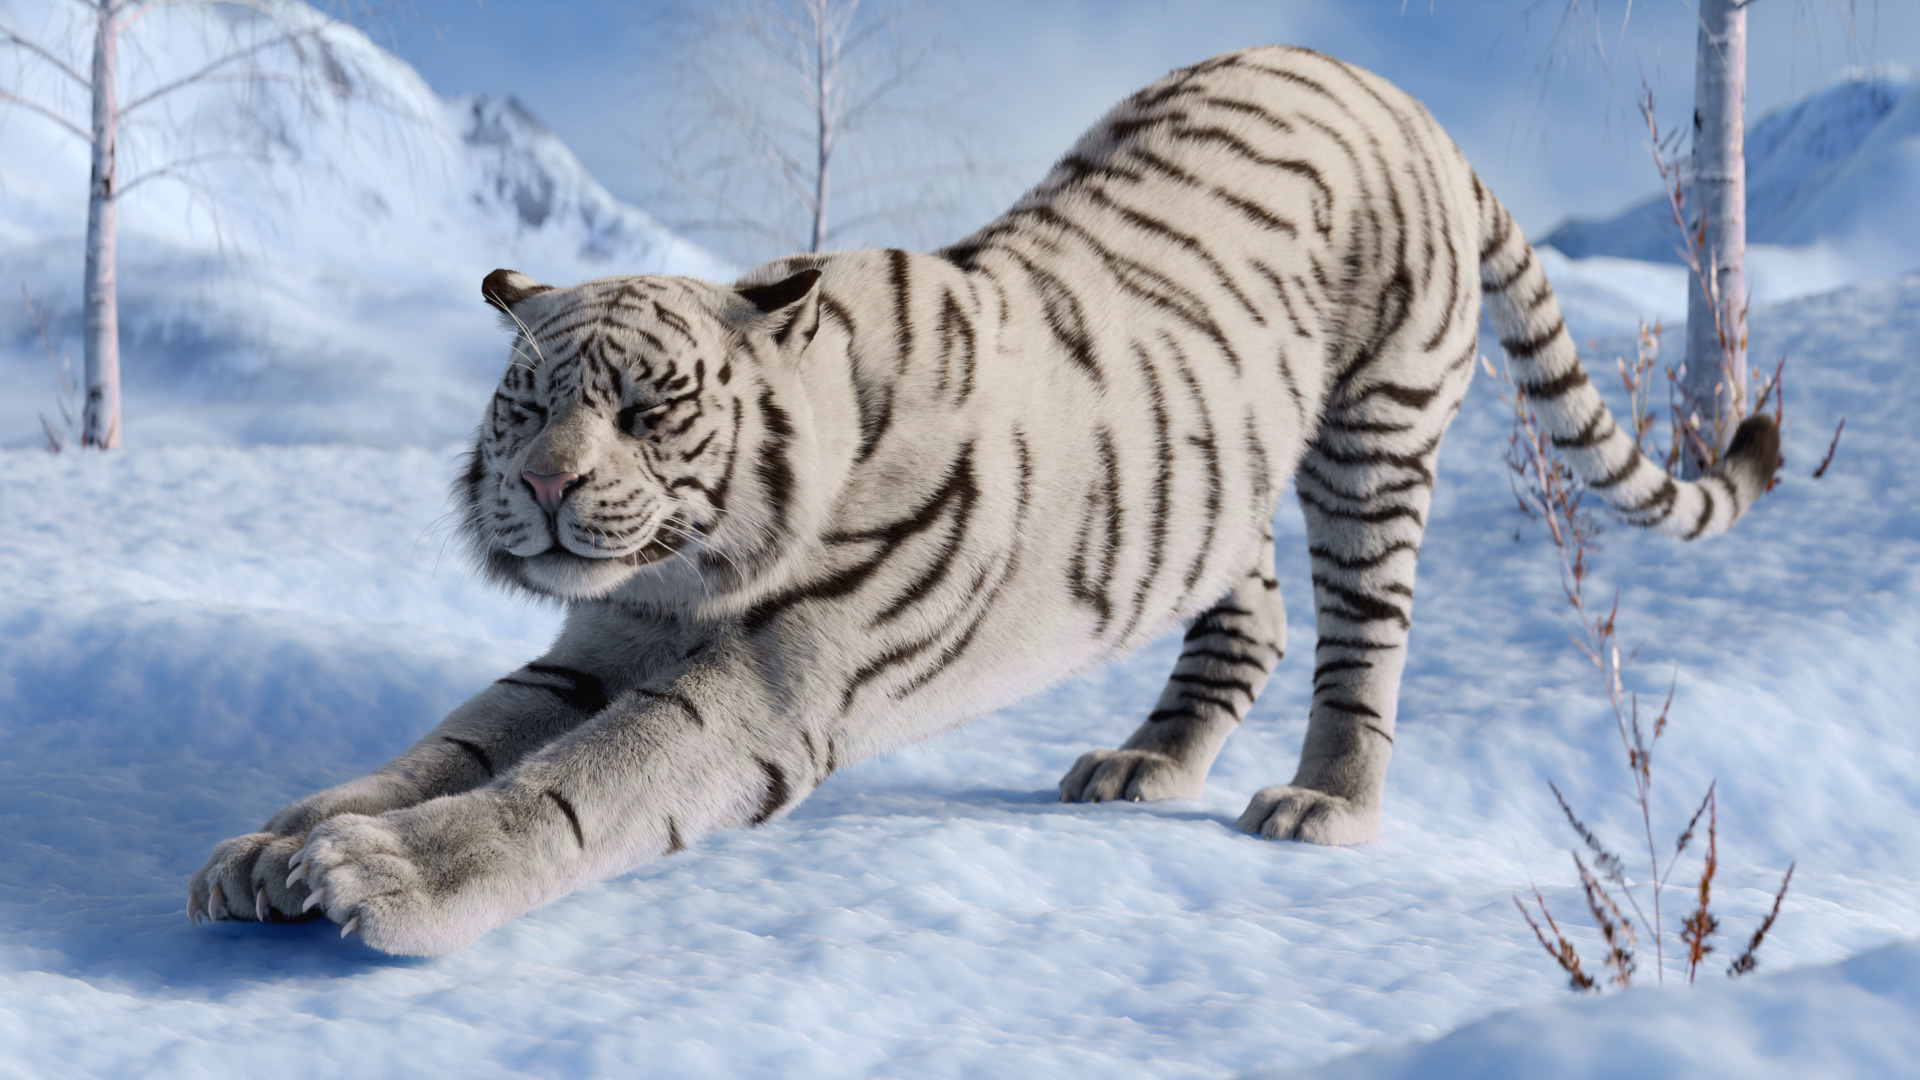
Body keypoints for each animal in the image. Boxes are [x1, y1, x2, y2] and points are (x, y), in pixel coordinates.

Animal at [188, 46, 1778, 956]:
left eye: (643, 411)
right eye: (525, 405)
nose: (536, 485)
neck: (700, 566)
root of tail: (1402, 99)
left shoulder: (775, 680)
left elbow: (581, 786)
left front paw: (389, 875)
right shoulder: (597, 641)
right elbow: (456, 740)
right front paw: (275, 845)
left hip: (1374, 433)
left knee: (1363, 634)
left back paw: (1321, 803)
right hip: (1208, 472)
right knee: (1248, 603)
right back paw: (1144, 764)